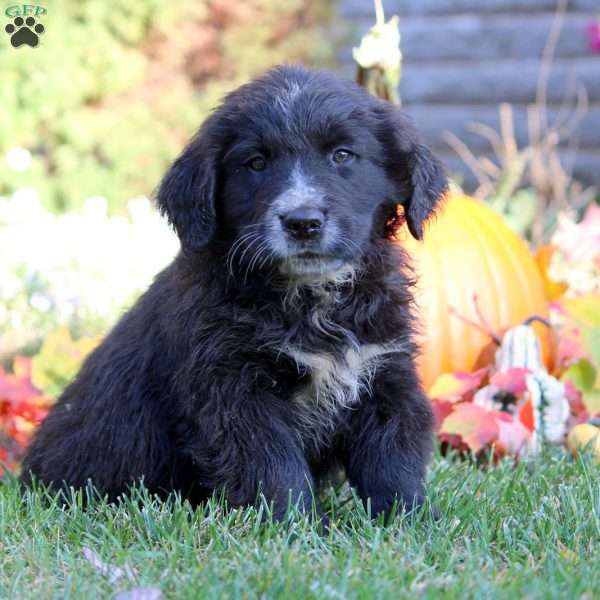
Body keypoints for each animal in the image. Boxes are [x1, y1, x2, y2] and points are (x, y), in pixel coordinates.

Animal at [21, 64, 446, 516]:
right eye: (256, 163)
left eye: (343, 155)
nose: (302, 222)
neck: (310, 299)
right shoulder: (233, 388)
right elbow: (273, 468)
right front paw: (292, 524)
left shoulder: (384, 370)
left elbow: (392, 458)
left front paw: (407, 518)